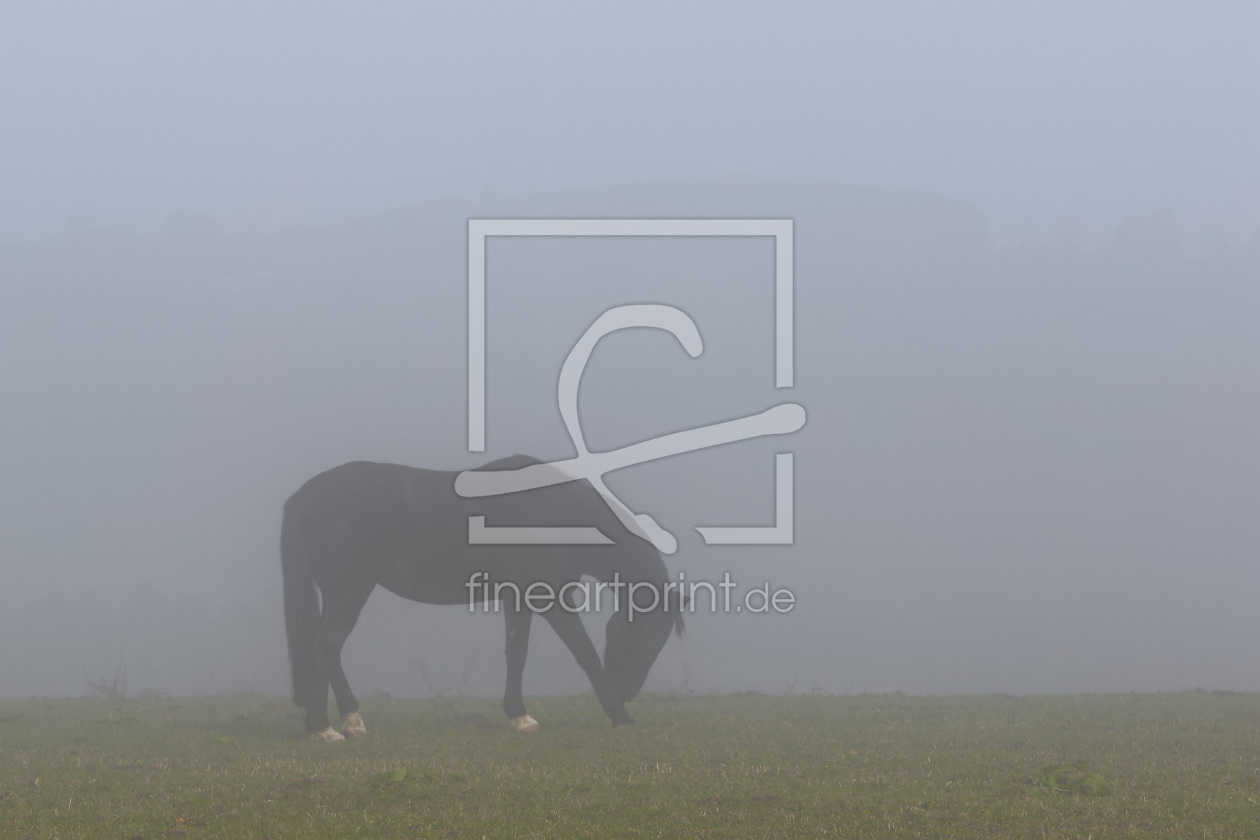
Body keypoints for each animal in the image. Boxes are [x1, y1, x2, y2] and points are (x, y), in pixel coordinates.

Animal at [282, 455, 685, 740]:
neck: (557, 512)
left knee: (327, 653)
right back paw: (326, 727)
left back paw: (346, 721)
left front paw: (520, 716)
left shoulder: (518, 597)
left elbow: (516, 654)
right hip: (349, 592)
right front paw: (620, 716)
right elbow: (584, 653)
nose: (626, 692)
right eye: (652, 637)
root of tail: (304, 495)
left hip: (339, 594)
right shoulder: (553, 597)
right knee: (324, 648)